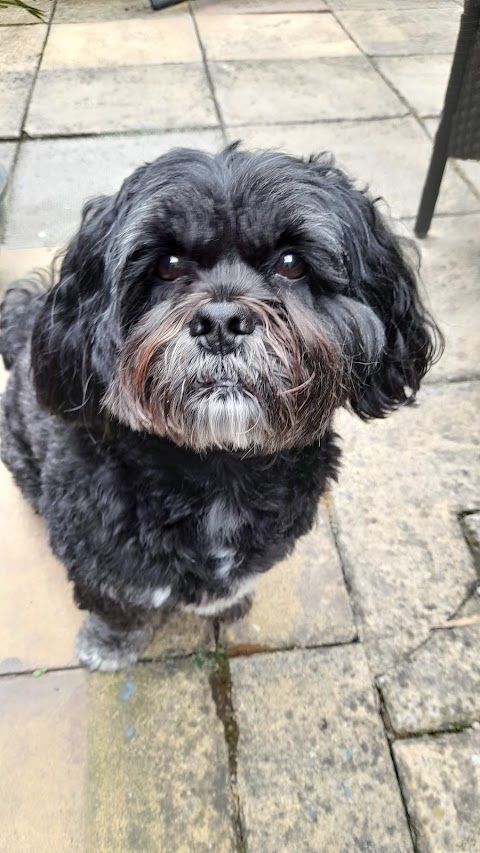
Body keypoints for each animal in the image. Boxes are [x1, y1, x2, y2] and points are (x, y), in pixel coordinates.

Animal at [0, 146, 442, 668]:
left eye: (291, 263)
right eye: (168, 265)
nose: (220, 322)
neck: (219, 469)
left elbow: (232, 583)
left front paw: (227, 603)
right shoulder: (101, 558)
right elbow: (118, 605)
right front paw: (109, 644)